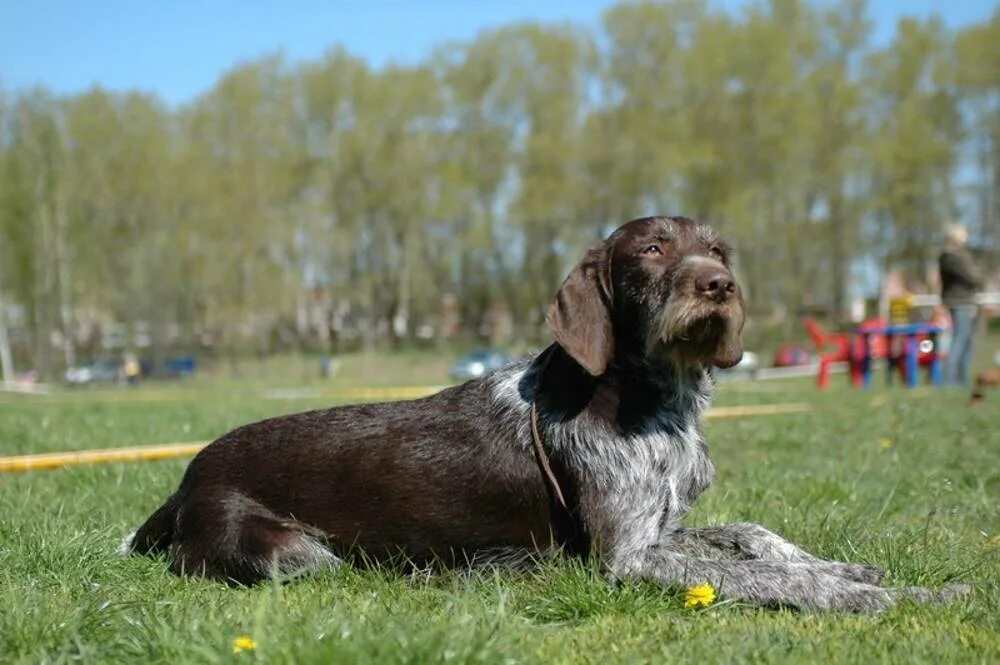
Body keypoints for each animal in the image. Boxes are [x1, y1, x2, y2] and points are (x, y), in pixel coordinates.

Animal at [121, 218, 964, 612]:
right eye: (652, 249)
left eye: (718, 248)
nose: (718, 284)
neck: (655, 399)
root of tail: (186, 477)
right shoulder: (628, 557)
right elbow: (748, 572)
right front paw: (861, 594)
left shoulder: (656, 527)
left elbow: (752, 538)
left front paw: (852, 568)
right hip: (300, 556)